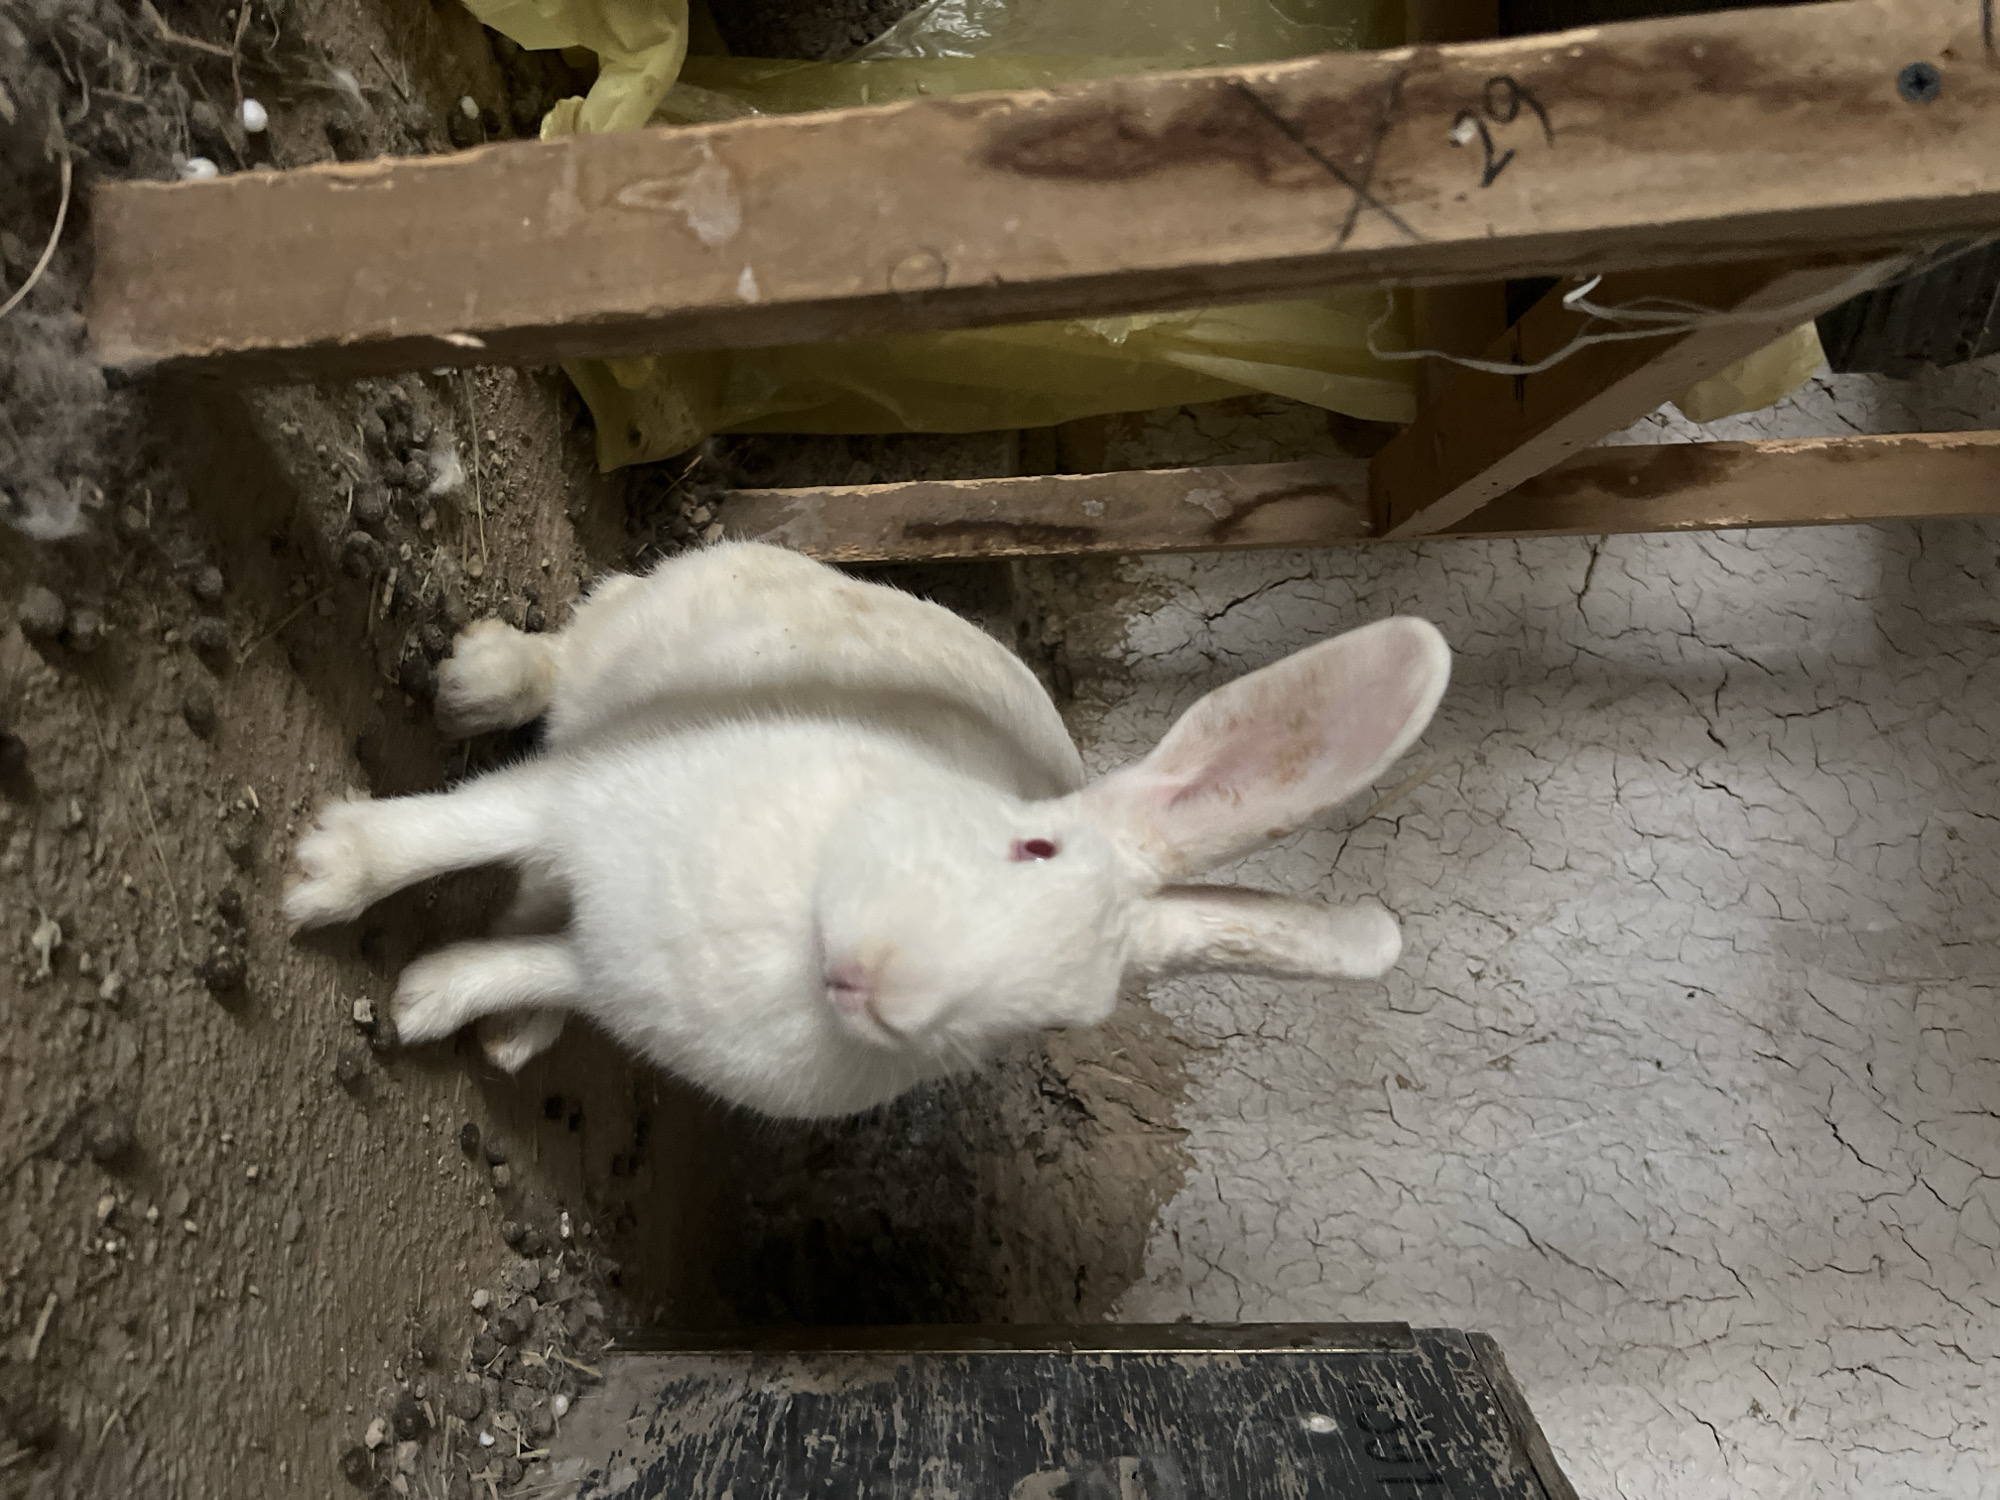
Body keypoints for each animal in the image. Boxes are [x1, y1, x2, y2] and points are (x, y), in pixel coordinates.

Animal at [284, 542, 1451, 1120]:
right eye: (1029, 847)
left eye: (1061, 1017)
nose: (881, 988)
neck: (799, 939)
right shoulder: (582, 795)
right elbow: (452, 828)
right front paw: (317, 875)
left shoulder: (606, 971)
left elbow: (529, 961)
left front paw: (431, 1002)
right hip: (643, 642)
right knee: (566, 651)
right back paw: (475, 679)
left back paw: (515, 1035)